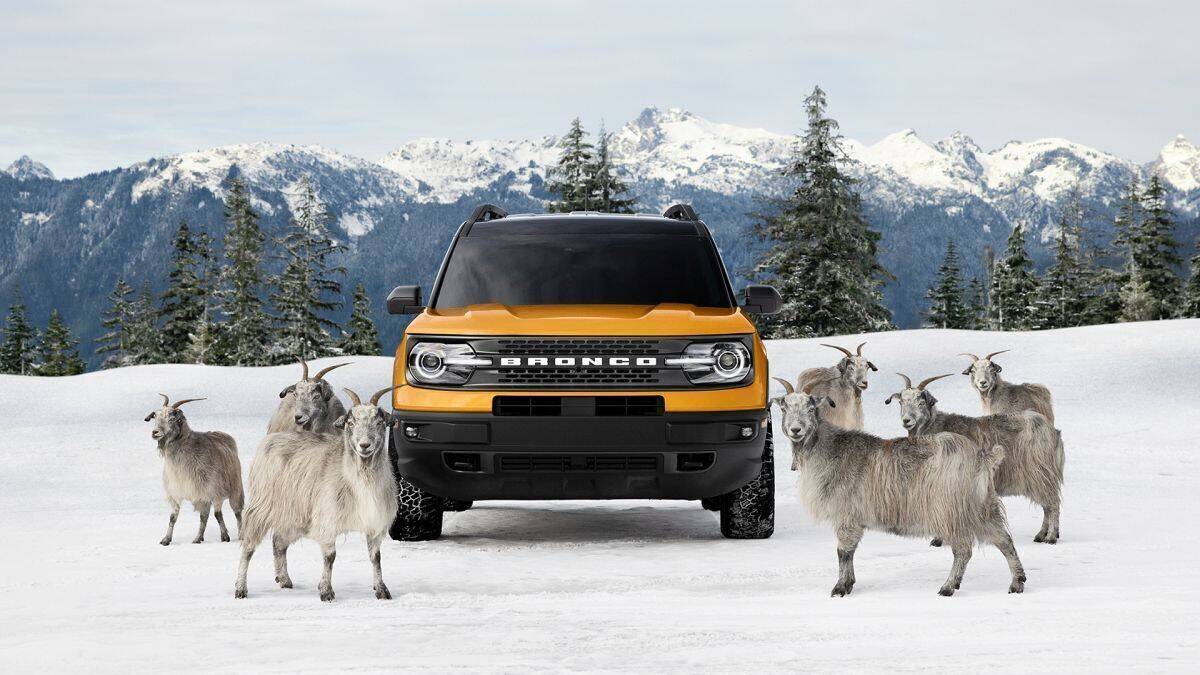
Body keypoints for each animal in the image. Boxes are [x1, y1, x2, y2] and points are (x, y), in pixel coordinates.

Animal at [145, 391, 243, 542]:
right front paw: (166, 540)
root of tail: (223, 435)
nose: (155, 433)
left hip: (235, 490)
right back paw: (198, 538)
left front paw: (225, 537)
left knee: (237, 513)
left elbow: (218, 515)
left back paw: (240, 535)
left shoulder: (214, 491)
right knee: (204, 516)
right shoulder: (176, 493)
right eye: (155, 416)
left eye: (172, 418)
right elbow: (173, 517)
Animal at [234, 384, 398, 598]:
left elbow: (376, 558)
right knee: (248, 547)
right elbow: (330, 557)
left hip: (294, 515)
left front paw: (382, 590)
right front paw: (326, 591)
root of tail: (271, 438)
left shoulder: (375, 524)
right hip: (262, 507)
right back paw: (241, 588)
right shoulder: (328, 521)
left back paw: (284, 579)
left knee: (278, 542)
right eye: (350, 423)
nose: (364, 445)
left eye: (379, 423)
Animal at [772, 374, 1027, 595]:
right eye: (784, 408)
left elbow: (843, 552)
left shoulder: (847, 516)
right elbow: (848, 552)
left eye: (811, 408)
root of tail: (983, 458)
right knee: (1004, 540)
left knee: (964, 550)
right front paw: (848, 583)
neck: (829, 449)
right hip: (983, 506)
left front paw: (841, 588)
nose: (796, 430)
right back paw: (1017, 582)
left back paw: (948, 587)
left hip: (951, 511)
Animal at [888, 369, 1065, 542]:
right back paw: (1041, 535)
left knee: (1053, 503)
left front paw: (938, 540)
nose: (906, 421)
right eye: (901, 402)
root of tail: (1052, 430)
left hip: (1041, 473)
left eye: (921, 402)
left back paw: (1050, 537)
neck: (934, 426)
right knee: (1047, 505)